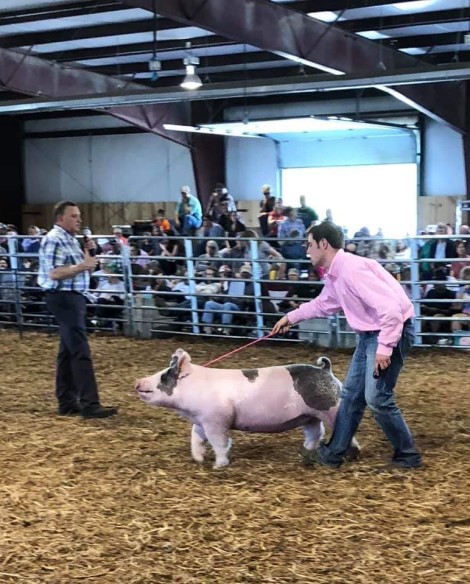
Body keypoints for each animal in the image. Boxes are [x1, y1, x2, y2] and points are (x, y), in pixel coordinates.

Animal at [134, 346, 362, 470]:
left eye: (164, 377)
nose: (138, 381)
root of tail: (326, 369)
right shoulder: (201, 420)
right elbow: (196, 439)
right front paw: (198, 459)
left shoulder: (216, 419)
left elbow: (219, 442)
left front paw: (218, 465)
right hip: (309, 415)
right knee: (316, 432)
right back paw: (304, 451)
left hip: (330, 407)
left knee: (343, 430)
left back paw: (351, 454)